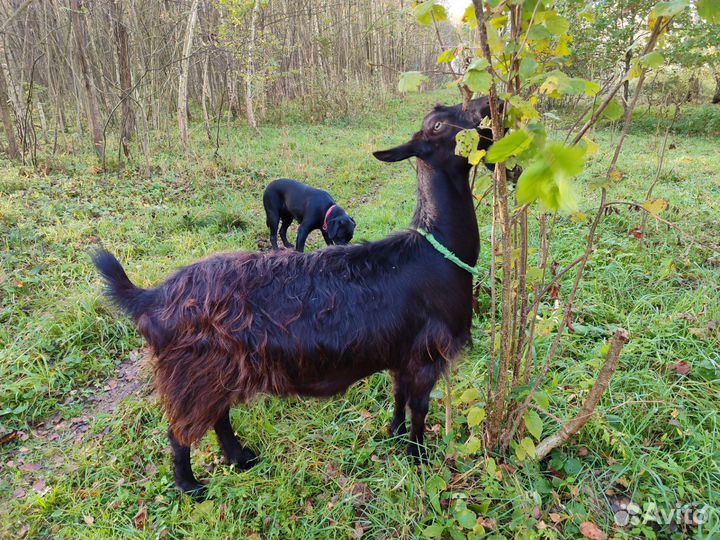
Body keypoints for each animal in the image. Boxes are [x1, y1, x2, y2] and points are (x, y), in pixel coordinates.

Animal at [93, 98, 493, 498]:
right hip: (191, 372)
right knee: (181, 430)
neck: (437, 249)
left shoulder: (401, 350)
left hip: (217, 370)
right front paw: (418, 459)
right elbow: (419, 408)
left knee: (218, 416)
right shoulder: (426, 354)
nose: (487, 104)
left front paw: (394, 436)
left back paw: (241, 459)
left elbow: (398, 397)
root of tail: (151, 297)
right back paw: (191, 486)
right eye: (438, 125)